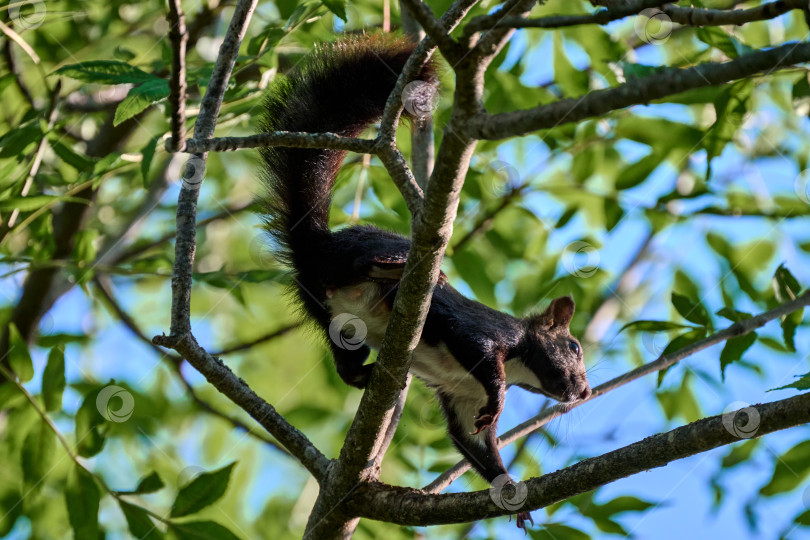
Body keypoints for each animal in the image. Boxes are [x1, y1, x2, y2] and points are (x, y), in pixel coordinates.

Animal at [258, 33, 588, 528]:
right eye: (573, 347)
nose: (584, 392)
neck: (522, 363)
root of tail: (313, 246)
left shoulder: (462, 397)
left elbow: (475, 445)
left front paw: (511, 489)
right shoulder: (486, 336)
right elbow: (481, 354)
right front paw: (501, 400)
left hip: (330, 315)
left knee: (343, 360)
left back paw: (364, 372)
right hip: (357, 257)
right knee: (367, 264)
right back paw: (399, 269)